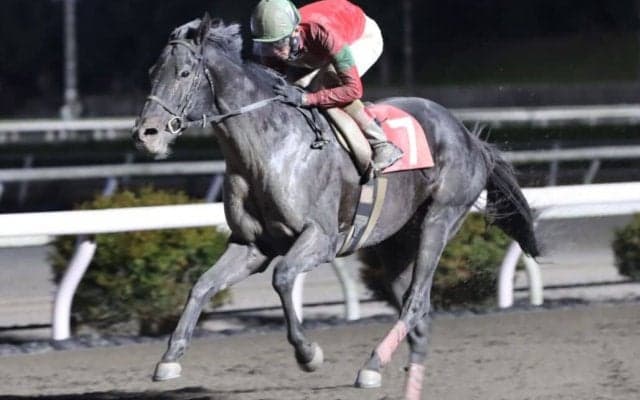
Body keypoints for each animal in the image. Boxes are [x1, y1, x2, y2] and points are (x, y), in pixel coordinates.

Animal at [132, 15, 539, 400]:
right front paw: (169, 359)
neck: (269, 149)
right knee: (416, 306)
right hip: (396, 241)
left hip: (439, 220)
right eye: (152, 73)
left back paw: (371, 367)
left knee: (415, 301)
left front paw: (308, 353)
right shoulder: (252, 246)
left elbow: (283, 278)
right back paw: (407, 371)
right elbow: (202, 286)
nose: (145, 134)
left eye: (184, 73)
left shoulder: (322, 239)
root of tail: (468, 136)